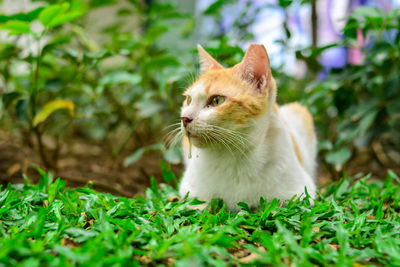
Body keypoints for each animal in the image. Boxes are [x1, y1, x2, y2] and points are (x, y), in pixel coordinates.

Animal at [177, 43, 316, 211]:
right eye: (189, 100)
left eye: (217, 100)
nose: (185, 118)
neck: (233, 156)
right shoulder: (190, 192)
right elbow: (200, 206)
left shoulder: (300, 194)